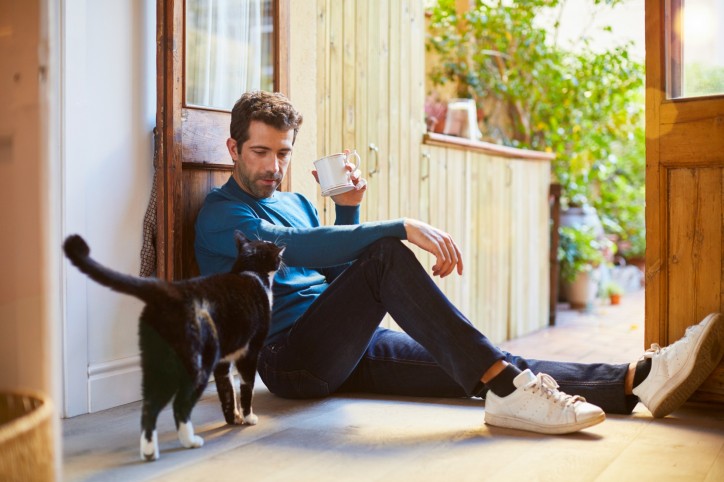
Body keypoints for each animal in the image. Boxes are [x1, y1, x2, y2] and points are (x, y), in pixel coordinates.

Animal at [63, 232, 282, 462]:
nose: (281, 255)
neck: (250, 273)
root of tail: (169, 291)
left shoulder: (223, 361)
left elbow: (226, 390)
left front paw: (233, 419)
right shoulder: (250, 351)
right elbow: (246, 386)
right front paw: (248, 418)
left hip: (156, 363)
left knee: (148, 407)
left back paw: (150, 452)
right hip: (195, 363)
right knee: (179, 405)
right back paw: (190, 441)